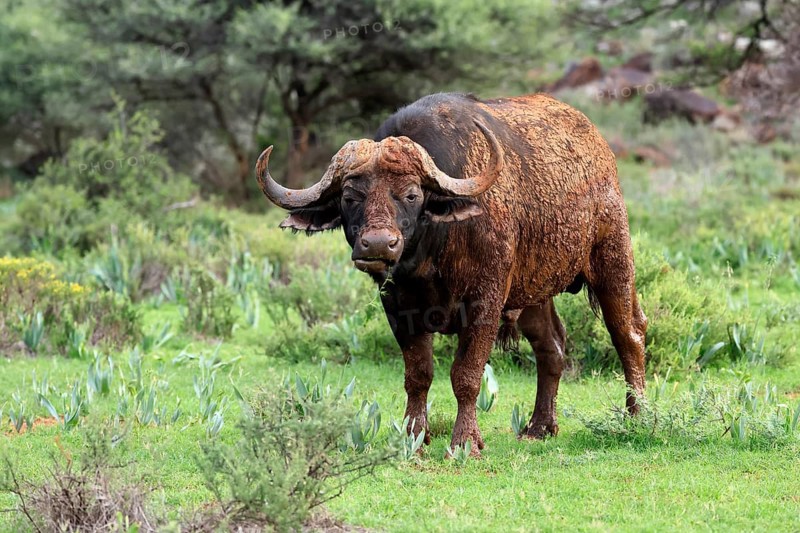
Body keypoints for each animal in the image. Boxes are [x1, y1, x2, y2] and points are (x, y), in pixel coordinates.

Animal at [256, 92, 647, 456]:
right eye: (350, 197)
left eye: (411, 195)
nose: (379, 244)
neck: (429, 258)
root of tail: (600, 150)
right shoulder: (397, 308)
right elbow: (418, 375)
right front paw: (414, 437)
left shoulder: (485, 303)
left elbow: (466, 375)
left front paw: (466, 442)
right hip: (534, 292)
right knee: (551, 346)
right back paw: (540, 426)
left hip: (613, 261)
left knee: (629, 335)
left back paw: (637, 416)